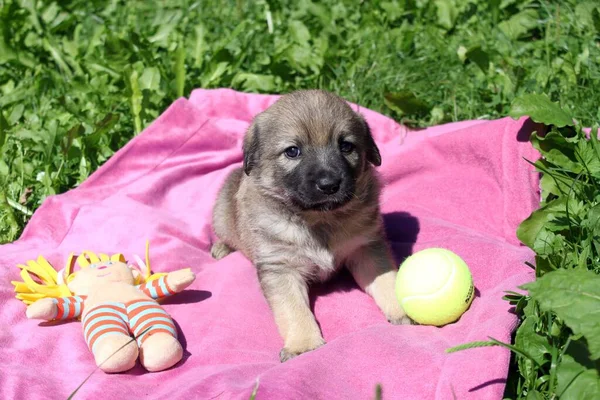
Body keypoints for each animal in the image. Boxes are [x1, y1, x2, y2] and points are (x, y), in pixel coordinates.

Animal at [211, 90, 412, 362]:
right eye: (292, 151)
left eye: (346, 146)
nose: (329, 185)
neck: (319, 221)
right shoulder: (281, 267)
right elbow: (293, 310)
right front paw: (304, 344)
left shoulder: (366, 248)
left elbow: (387, 281)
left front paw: (403, 310)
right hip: (221, 215)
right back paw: (221, 248)